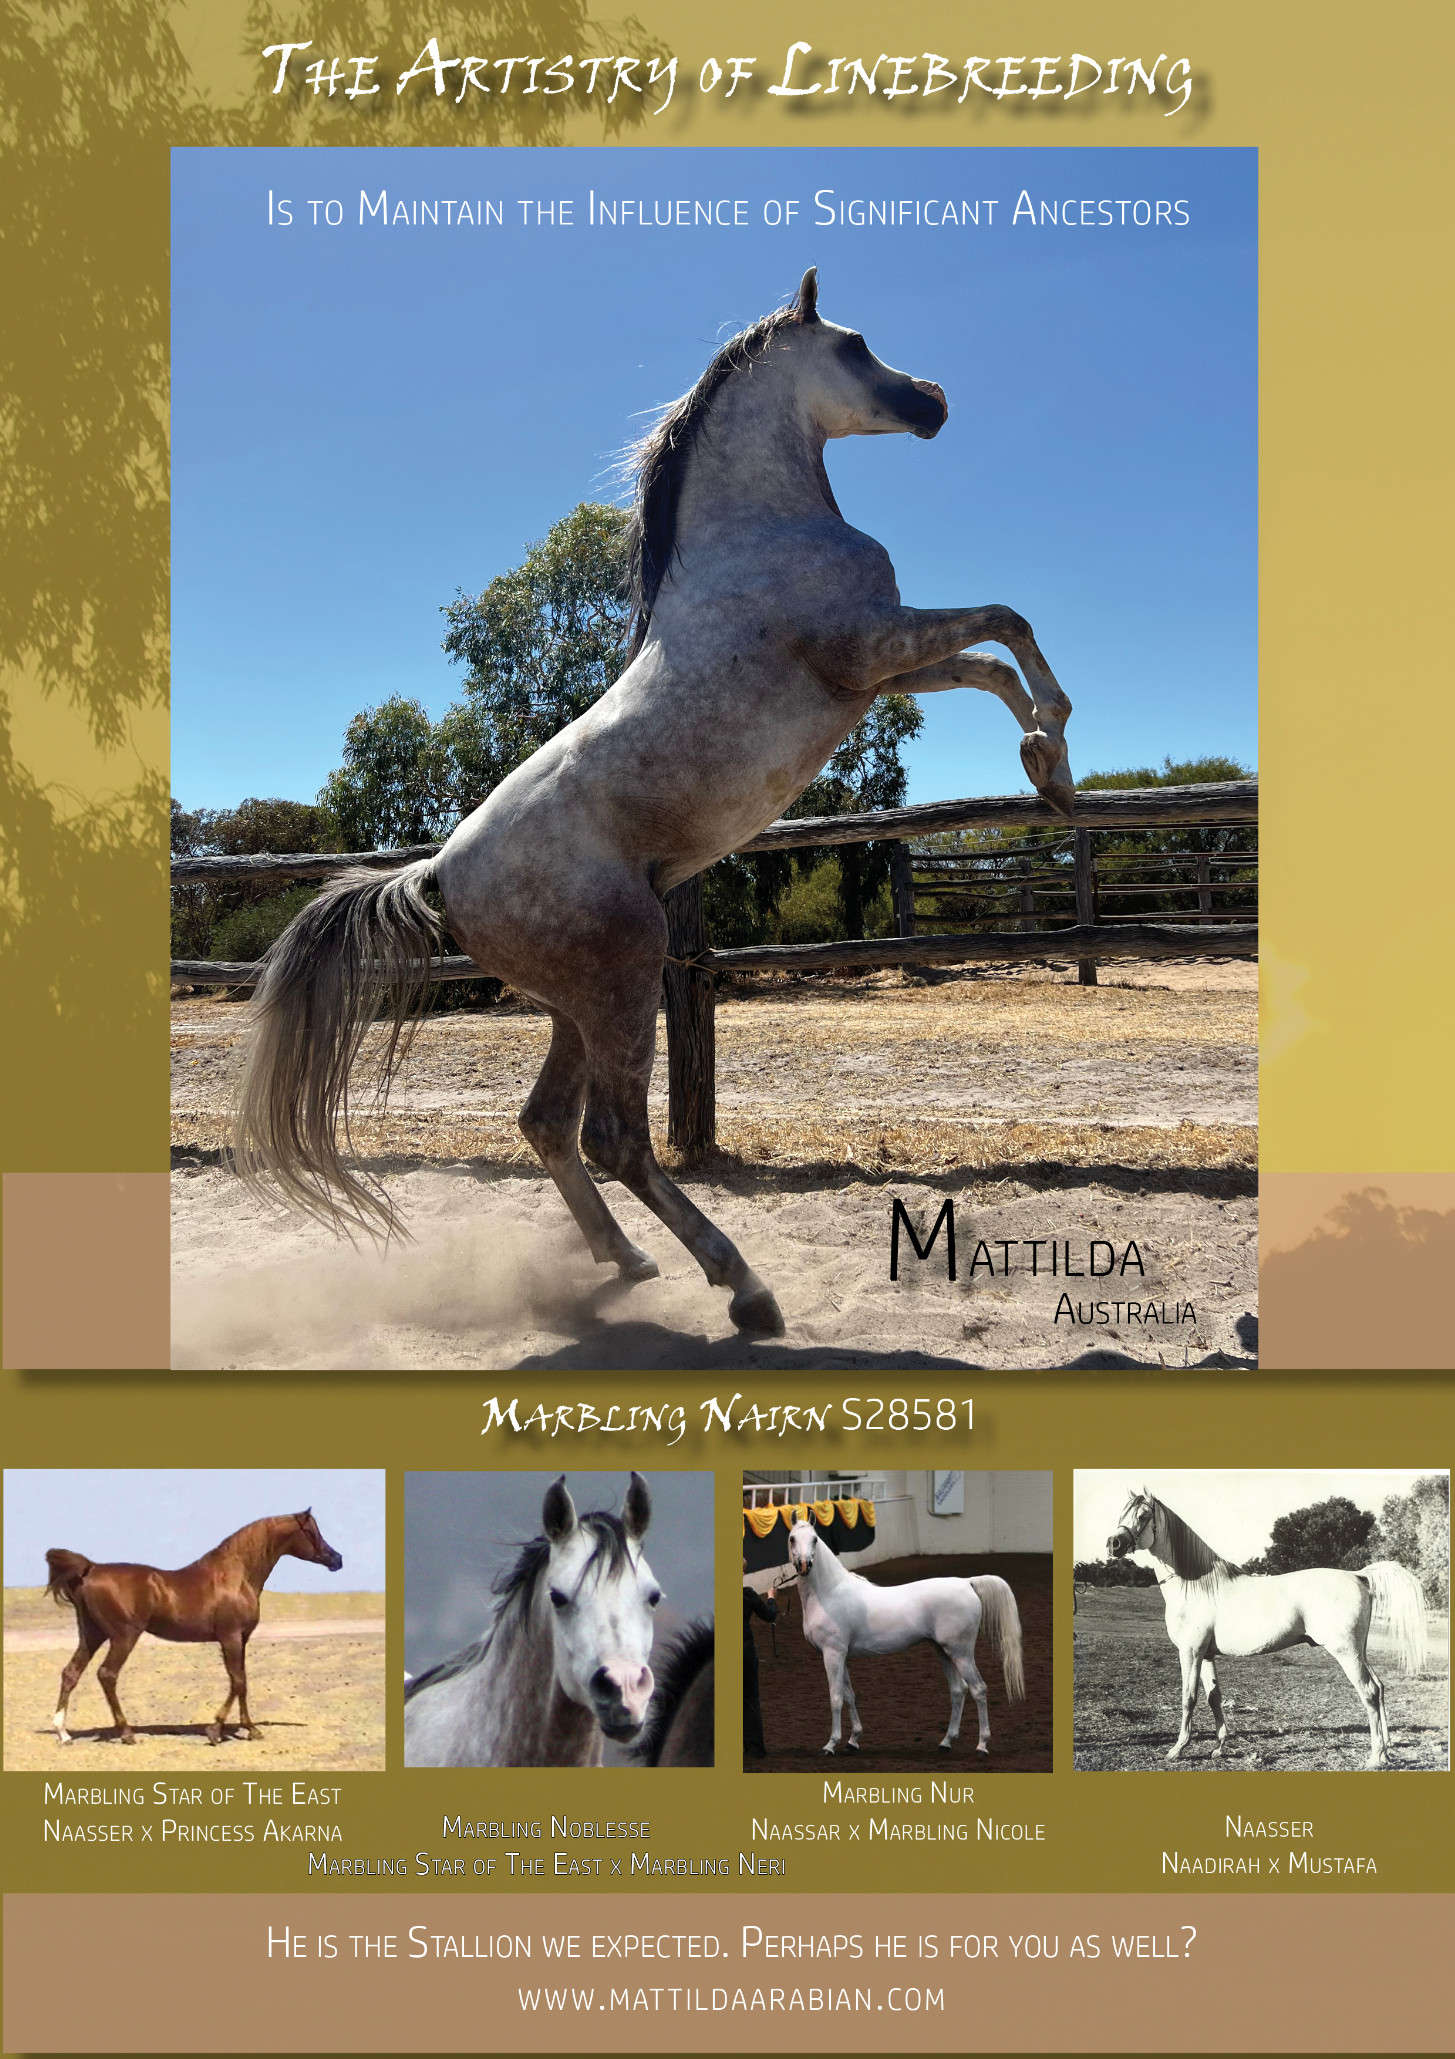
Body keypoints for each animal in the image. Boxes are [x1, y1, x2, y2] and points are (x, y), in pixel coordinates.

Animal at [44, 1509, 344, 1747]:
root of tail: (91, 1569)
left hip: (92, 1635)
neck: (237, 1575)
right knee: (107, 1675)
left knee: (71, 1673)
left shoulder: (242, 1639)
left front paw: (250, 1728)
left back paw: (64, 1733)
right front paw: (215, 1730)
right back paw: (127, 1733)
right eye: (311, 1531)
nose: (337, 1559)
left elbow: (243, 1682)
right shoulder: (230, 1638)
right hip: (123, 1636)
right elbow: (237, 1681)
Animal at [234, 266, 1075, 1340]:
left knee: (547, 1125)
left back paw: (628, 1261)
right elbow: (1005, 619)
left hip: (577, 1005)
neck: (760, 534)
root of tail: (437, 874)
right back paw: (742, 1287)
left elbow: (990, 661)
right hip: (627, 974)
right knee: (615, 1138)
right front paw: (1052, 738)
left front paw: (1048, 767)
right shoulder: (869, 648)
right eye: (854, 344)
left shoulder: (878, 671)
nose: (932, 400)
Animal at [786, 1518, 1025, 1755]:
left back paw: (982, 1744)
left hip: (961, 1653)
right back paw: (946, 1741)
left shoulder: (832, 1654)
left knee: (978, 1689)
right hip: (943, 1651)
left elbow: (835, 1698)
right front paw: (853, 1740)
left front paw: (831, 1744)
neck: (829, 1593)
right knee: (958, 1691)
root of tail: (967, 1582)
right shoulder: (842, 1656)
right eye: (792, 1538)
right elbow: (849, 1696)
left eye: (815, 1539)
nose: (805, 1565)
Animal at [1107, 1488, 1430, 1769]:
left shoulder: (1191, 1652)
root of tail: (1358, 1575)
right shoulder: (1207, 1655)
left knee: (1369, 1692)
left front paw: (1177, 1749)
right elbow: (1214, 1698)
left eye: (1143, 1515)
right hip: (1359, 1651)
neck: (1196, 1585)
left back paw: (1375, 1757)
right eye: (1122, 1513)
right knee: (1380, 1687)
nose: (1114, 1544)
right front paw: (1219, 1748)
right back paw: (1386, 1751)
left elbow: (1189, 1698)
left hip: (1346, 1652)